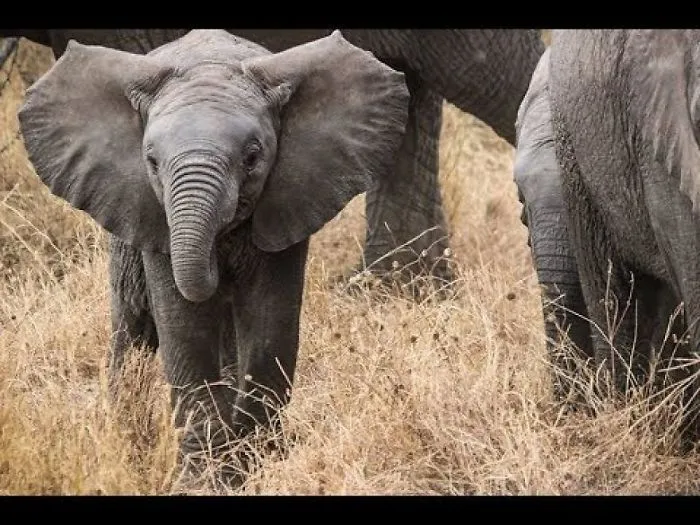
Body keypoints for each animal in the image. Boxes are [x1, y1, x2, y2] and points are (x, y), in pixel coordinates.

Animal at [17, 29, 411, 476]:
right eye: (152, 162)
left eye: (253, 158)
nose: (216, 262)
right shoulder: (151, 214)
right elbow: (184, 327)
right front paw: (206, 474)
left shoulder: (289, 199)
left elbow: (269, 324)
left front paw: (254, 463)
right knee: (131, 326)